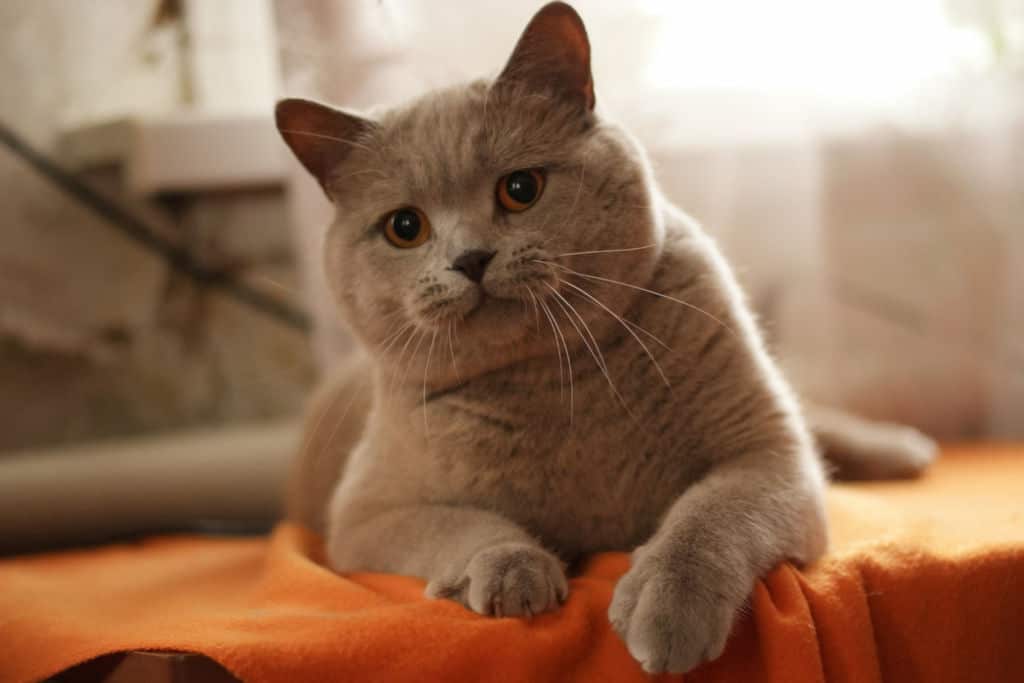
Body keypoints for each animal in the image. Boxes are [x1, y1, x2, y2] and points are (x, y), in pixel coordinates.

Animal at [274, 2, 937, 675]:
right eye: (404, 228)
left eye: (521, 188)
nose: (470, 258)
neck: (559, 381)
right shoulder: (362, 518)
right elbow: (458, 527)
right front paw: (512, 571)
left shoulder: (765, 454)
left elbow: (710, 517)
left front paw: (666, 607)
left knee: (816, 425)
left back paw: (900, 449)